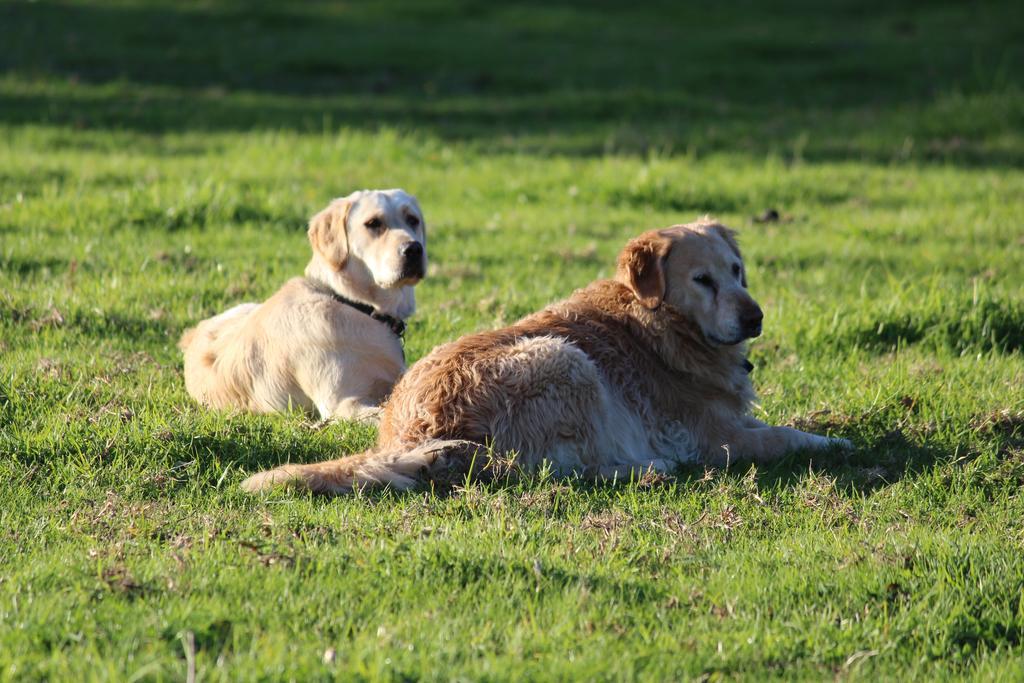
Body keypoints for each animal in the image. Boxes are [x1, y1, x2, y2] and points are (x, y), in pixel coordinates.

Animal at [239, 219, 847, 491]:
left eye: (738, 271)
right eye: (703, 280)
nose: (755, 318)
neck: (663, 323)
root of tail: (411, 434)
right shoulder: (716, 436)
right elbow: (782, 436)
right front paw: (833, 444)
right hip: (565, 360)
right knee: (571, 469)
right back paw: (650, 468)